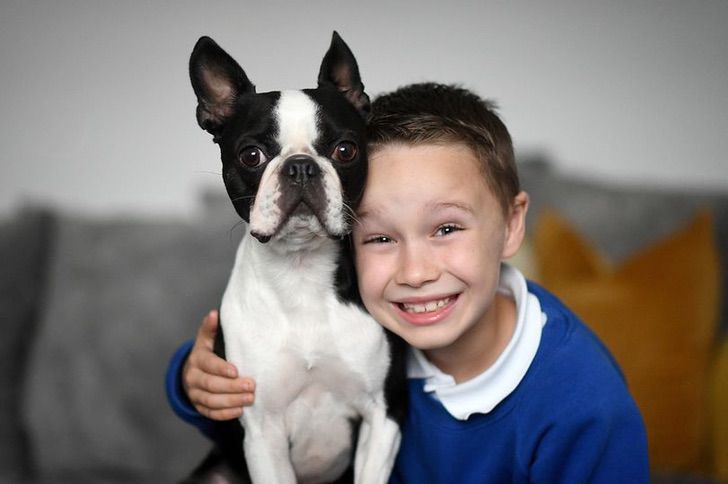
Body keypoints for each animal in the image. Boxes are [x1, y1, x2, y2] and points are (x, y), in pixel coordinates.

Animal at [185, 33, 406, 484]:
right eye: (251, 155)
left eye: (346, 149)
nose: (301, 166)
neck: (301, 273)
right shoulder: (261, 430)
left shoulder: (383, 416)